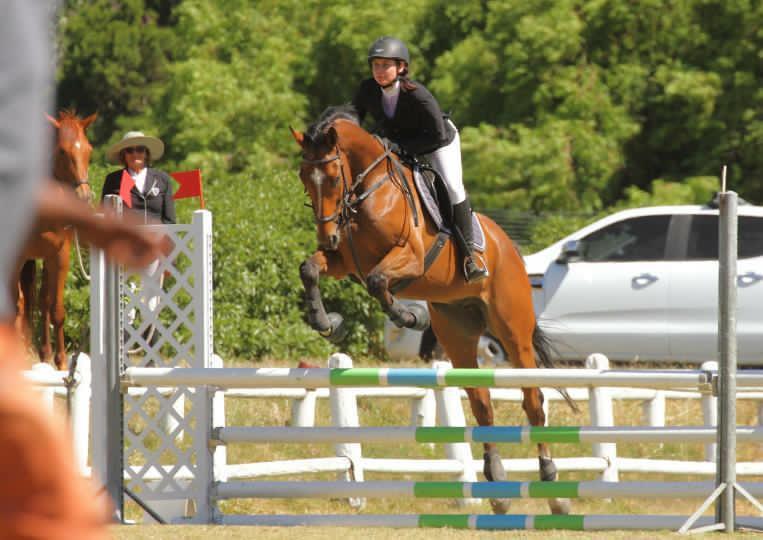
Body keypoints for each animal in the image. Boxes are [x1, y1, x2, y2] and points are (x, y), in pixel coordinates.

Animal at [15, 110, 96, 370]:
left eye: (88, 149)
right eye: (61, 151)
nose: (84, 196)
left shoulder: (59, 255)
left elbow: (55, 308)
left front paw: (59, 362)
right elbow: (18, 304)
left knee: (39, 301)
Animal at [291, 105, 576, 515]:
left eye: (330, 177)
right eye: (303, 177)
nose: (325, 236)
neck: (368, 190)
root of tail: (508, 246)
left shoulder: (409, 257)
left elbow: (378, 282)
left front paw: (411, 317)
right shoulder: (343, 261)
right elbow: (310, 269)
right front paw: (327, 322)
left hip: (513, 332)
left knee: (533, 401)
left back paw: (553, 484)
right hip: (458, 335)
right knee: (482, 403)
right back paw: (498, 484)